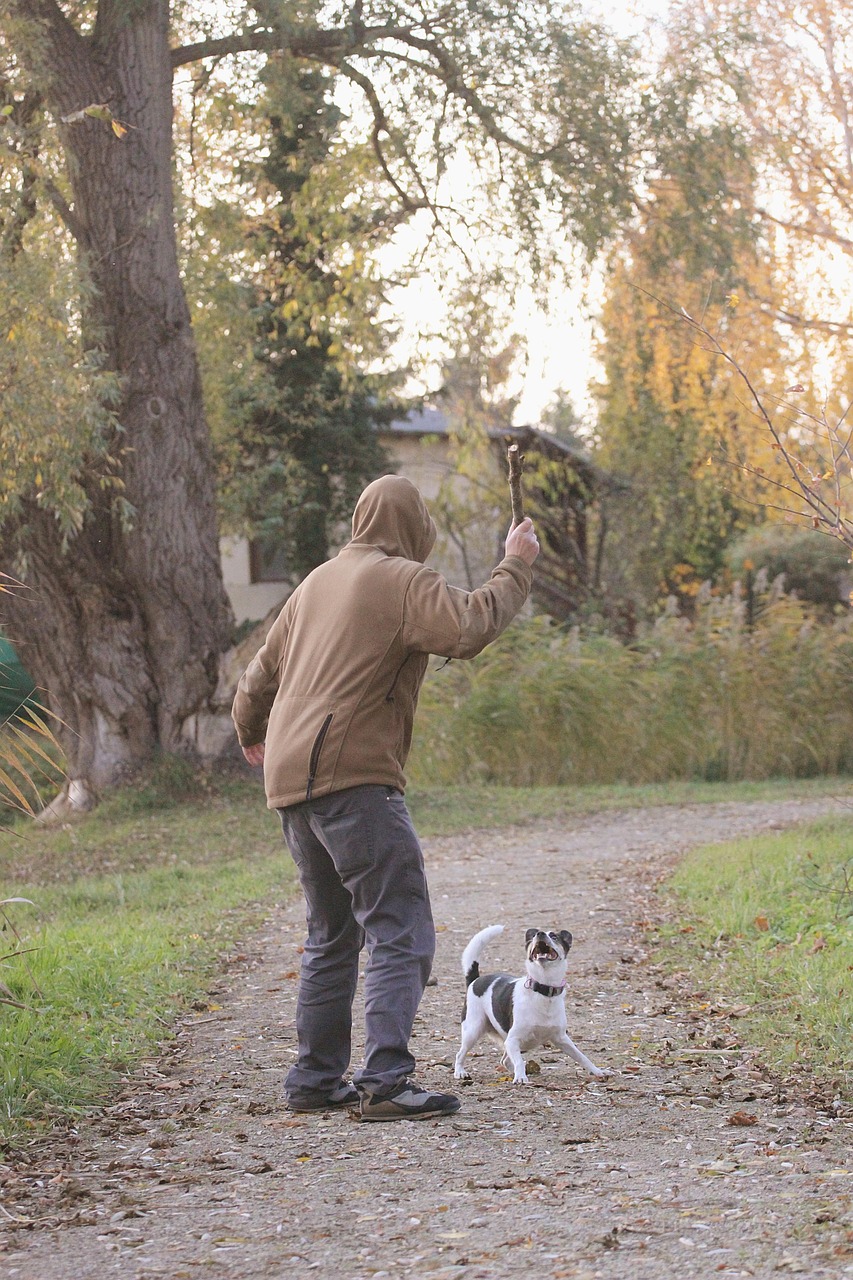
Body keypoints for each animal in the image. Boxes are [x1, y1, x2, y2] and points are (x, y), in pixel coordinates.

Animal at [450, 926, 604, 1085]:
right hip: (473, 1030)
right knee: (460, 1054)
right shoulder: (512, 1040)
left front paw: (597, 1071)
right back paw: (460, 1072)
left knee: (505, 1060)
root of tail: (475, 980)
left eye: (554, 937)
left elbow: (581, 1056)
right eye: (536, 935)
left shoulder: (561, 1039)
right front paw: (520, 1077)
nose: (540, 934)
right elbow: (519, 1061)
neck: (543, 991)